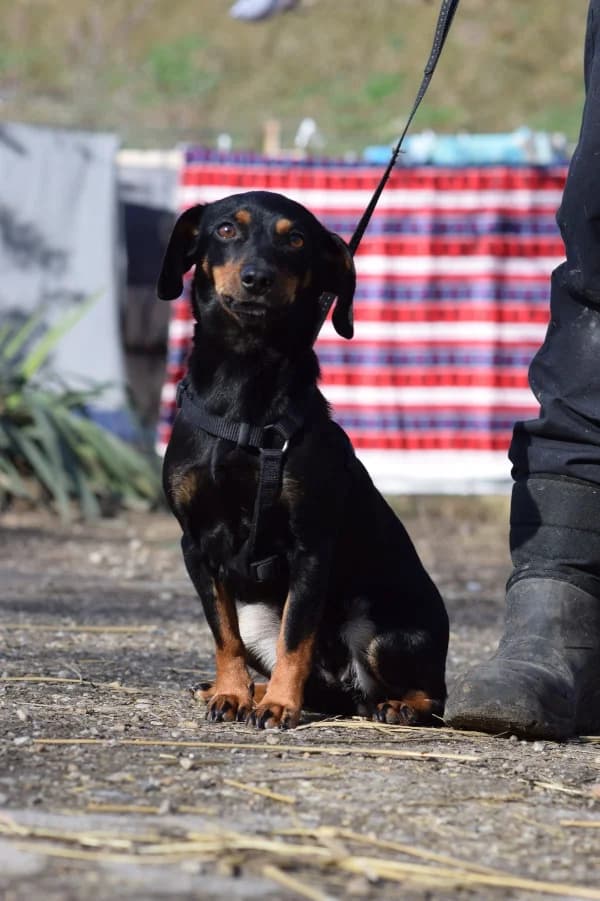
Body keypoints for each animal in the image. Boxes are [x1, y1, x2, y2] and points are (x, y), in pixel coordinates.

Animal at [157, 190, 449, 729]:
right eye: (225, 229)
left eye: (294, 239)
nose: (257, 278)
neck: (243, 388)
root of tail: (349, 689)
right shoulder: (196, 545)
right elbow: (223, 634)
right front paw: (230, 694)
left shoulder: (310, 546)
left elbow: (296, 635)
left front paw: (277, 706)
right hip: (259, 617)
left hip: (382, 629)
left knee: (432, 695)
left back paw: (397, 705)